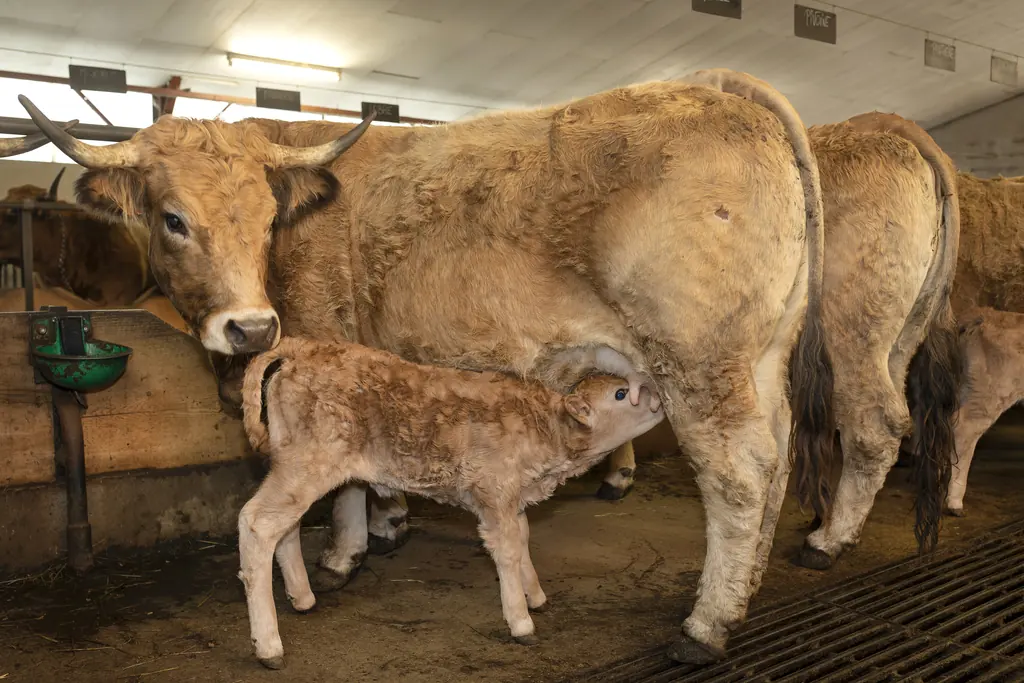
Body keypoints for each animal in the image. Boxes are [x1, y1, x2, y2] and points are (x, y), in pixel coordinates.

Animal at [237, 337, 664, 667]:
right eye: (621, 394)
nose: (659, 397)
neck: (545, 430)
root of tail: (304, 347)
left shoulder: (513, 498)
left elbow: (523, 538)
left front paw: (535, 595)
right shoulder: (494, 493)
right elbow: (508, 549)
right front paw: (521, 620)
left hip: (294, 466)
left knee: (284, 528)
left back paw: (302, 598)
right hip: (309, 463)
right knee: (257, 523)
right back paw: (269, 646)